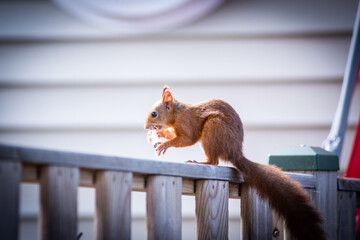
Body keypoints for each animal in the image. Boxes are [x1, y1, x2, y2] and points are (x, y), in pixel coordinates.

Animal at [145, 85, 324, 239]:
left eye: (154, 114)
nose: (146, 127)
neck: (177, 113)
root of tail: (235, 152)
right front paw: (160, 134)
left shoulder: (187, 123)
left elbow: (188, 138)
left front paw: (164, 144)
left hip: (213, 128)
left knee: (214, 161)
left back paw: (201, 162)